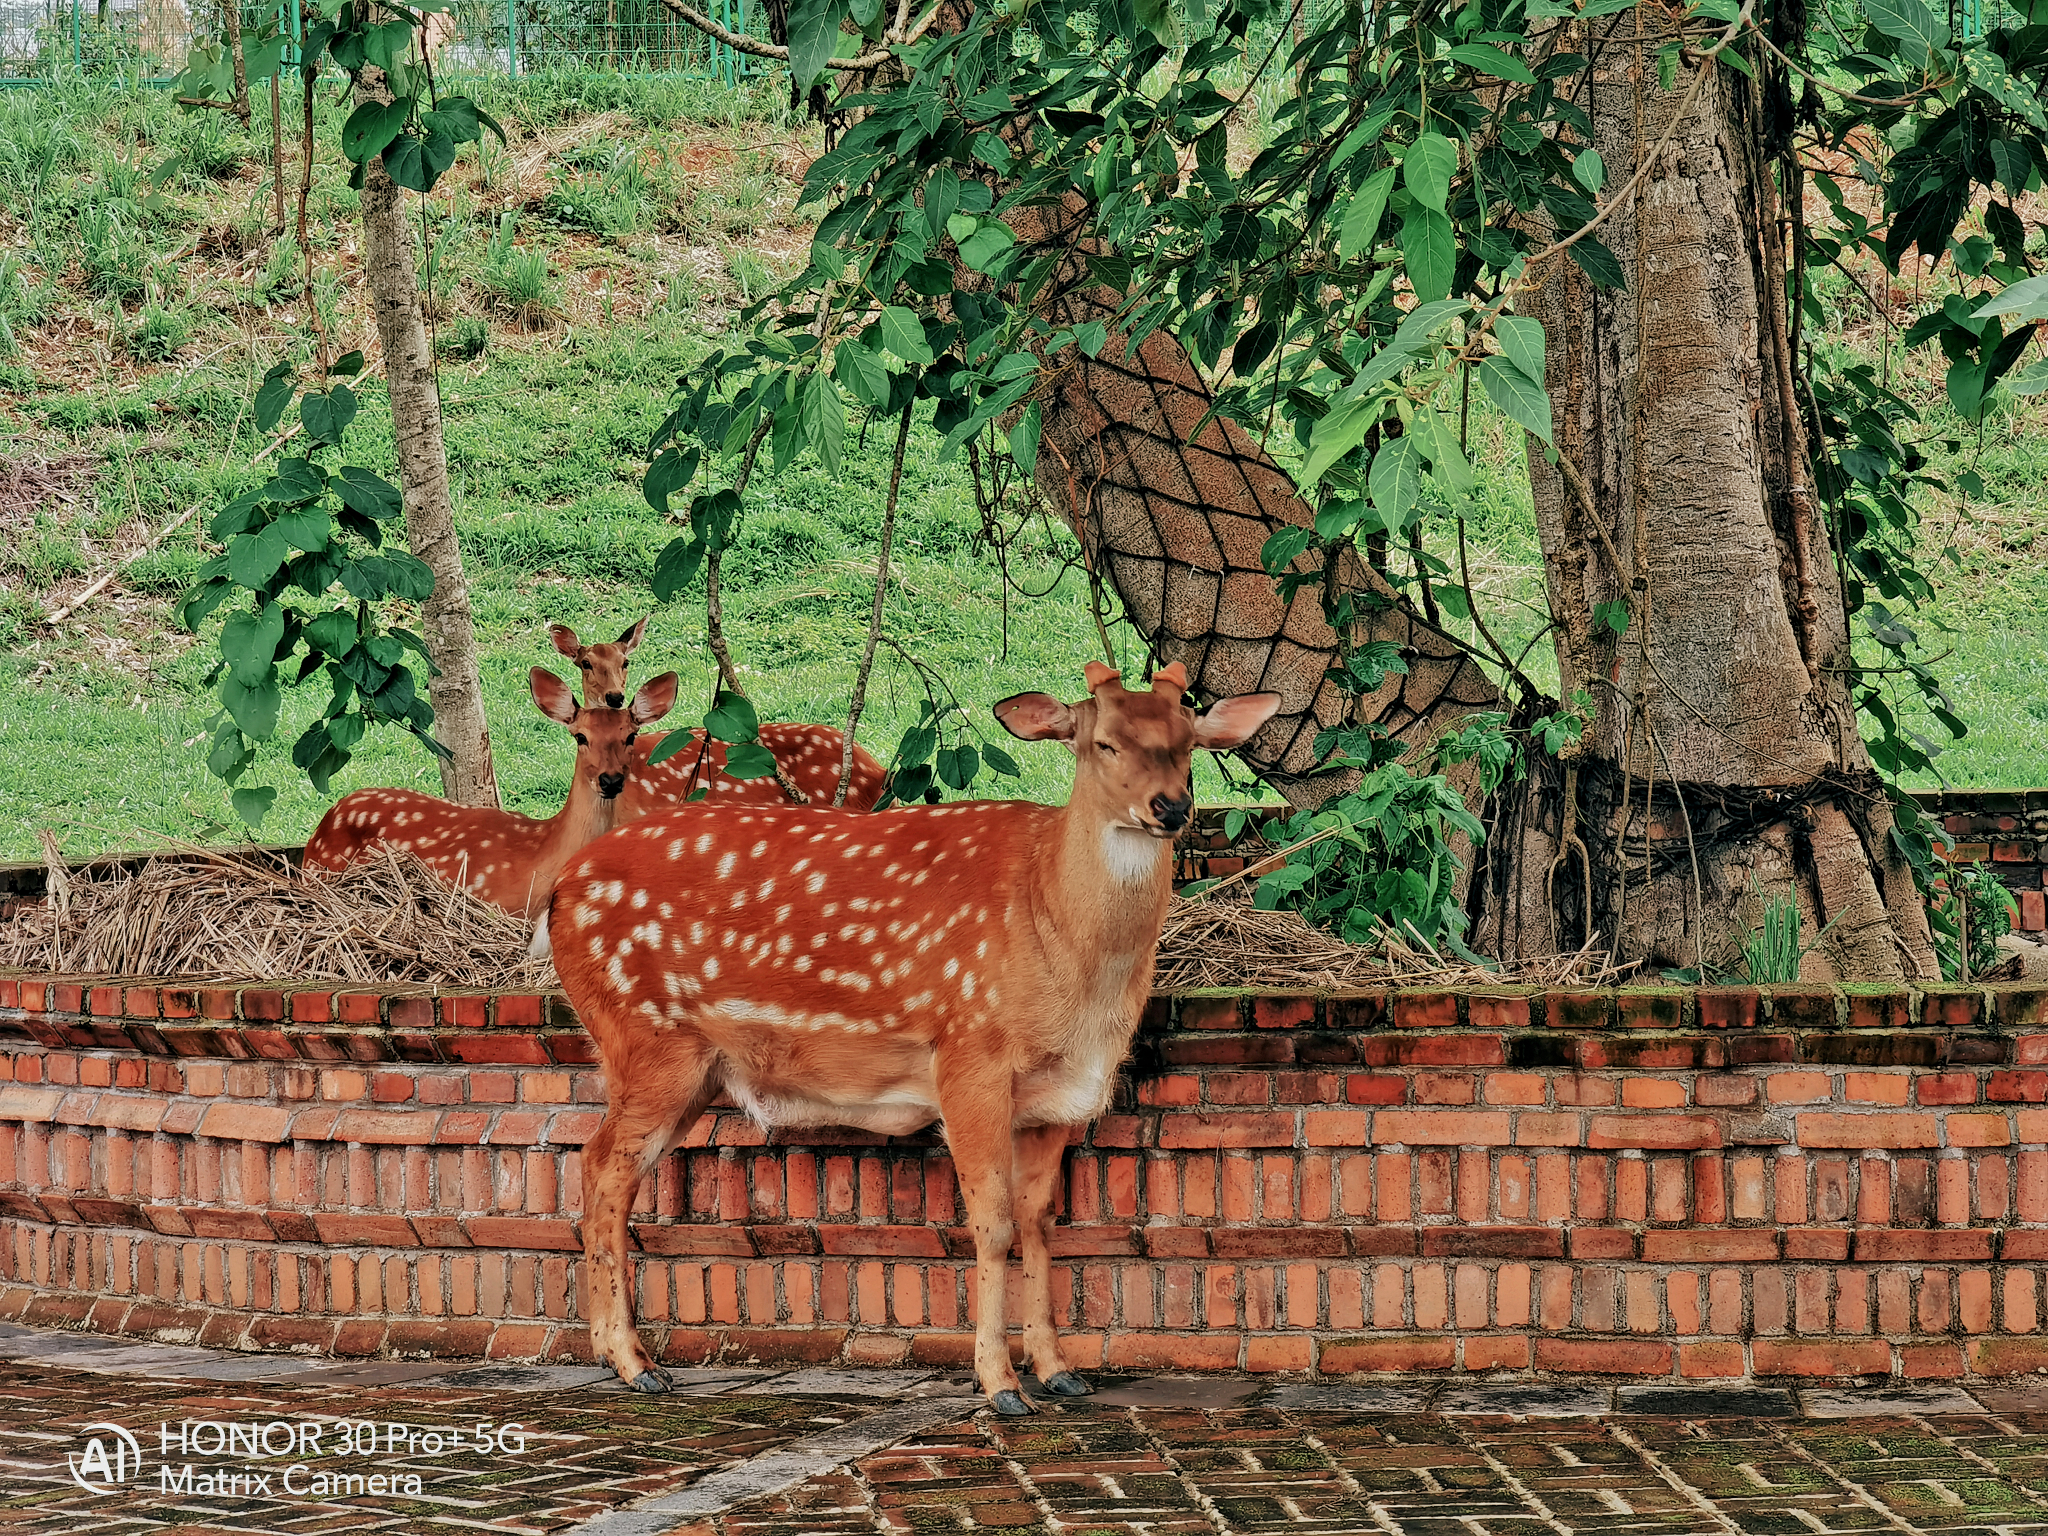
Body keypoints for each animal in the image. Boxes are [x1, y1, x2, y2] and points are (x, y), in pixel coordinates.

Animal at [544, 667, 1277, 1417]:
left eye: (1189, 744)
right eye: (1102, 742)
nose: (1172, 806)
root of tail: (558, 892)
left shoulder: (1052, 1099)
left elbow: (1039, 1222)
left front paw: (1059, 1370)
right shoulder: (969, 1054)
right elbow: (993, 1223)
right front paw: (1000, 1384)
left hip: (691, 1064)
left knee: (607, 1169)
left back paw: (617, 1356)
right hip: (647, 1037)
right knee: (600, 1164)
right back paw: (635, 1363)